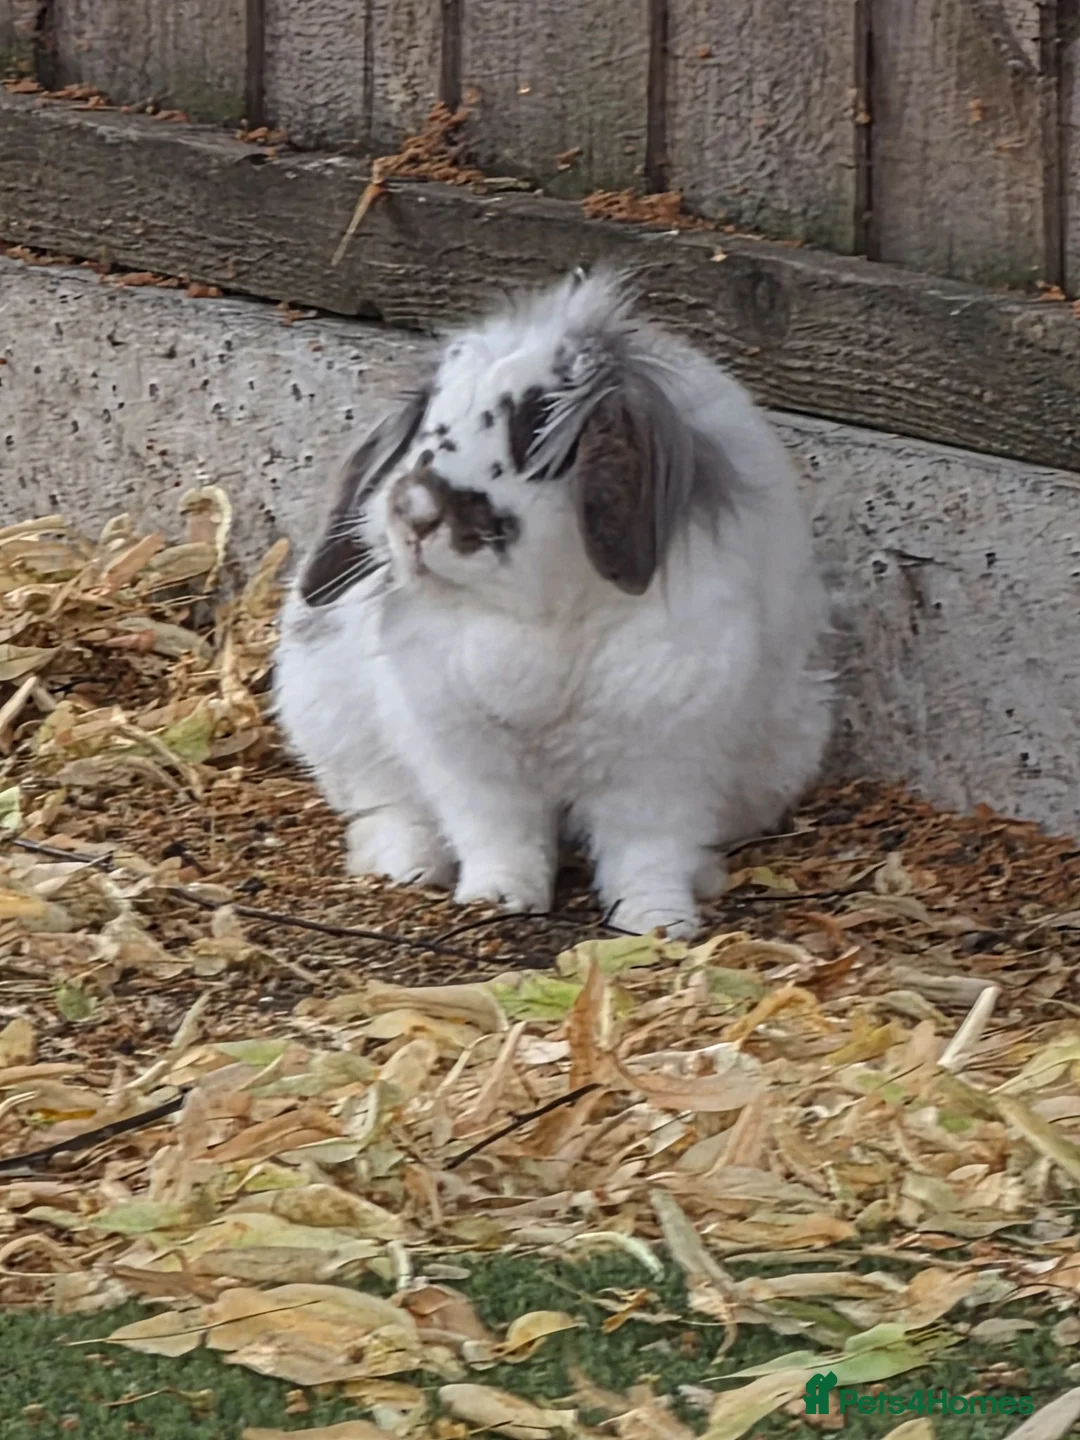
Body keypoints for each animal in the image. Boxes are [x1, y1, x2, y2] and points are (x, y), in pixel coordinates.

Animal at [273, 268, 832, 938]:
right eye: (428, 419)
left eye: (534, 426)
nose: (412, 511)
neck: (538, 615)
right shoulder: (468, 755)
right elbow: (499, 834)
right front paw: (495, 899)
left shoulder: (661, 764)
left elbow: (648, 850)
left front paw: (658, 923)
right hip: (331, 720)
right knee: (385, 805)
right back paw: (406, 865)